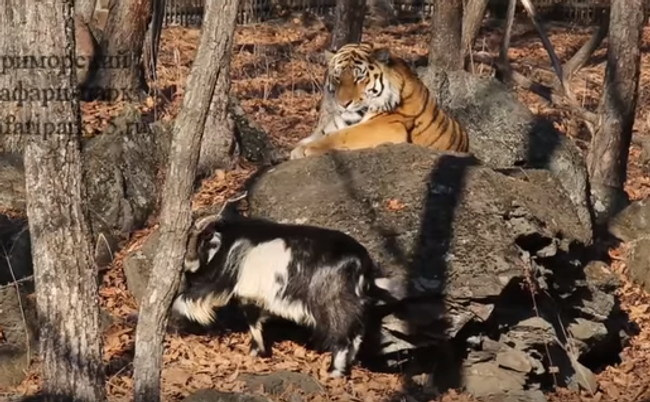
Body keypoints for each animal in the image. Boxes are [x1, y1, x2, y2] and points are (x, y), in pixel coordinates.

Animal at [170, 214, 402, 376]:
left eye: (197, 240)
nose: (187, 263)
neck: (227, 242)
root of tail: (363, 263)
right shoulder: (253, 295)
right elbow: (254, 320)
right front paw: (257, 350)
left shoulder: (230, 282)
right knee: (357, 333)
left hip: (333, 299)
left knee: (343, 333)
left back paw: (334, 372)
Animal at [288, 42, 466, 159]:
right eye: (337, 77)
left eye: (359, 77)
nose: (343, 104)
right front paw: (298, 148)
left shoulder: (388, 126)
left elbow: (341, 135)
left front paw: (306, 148)